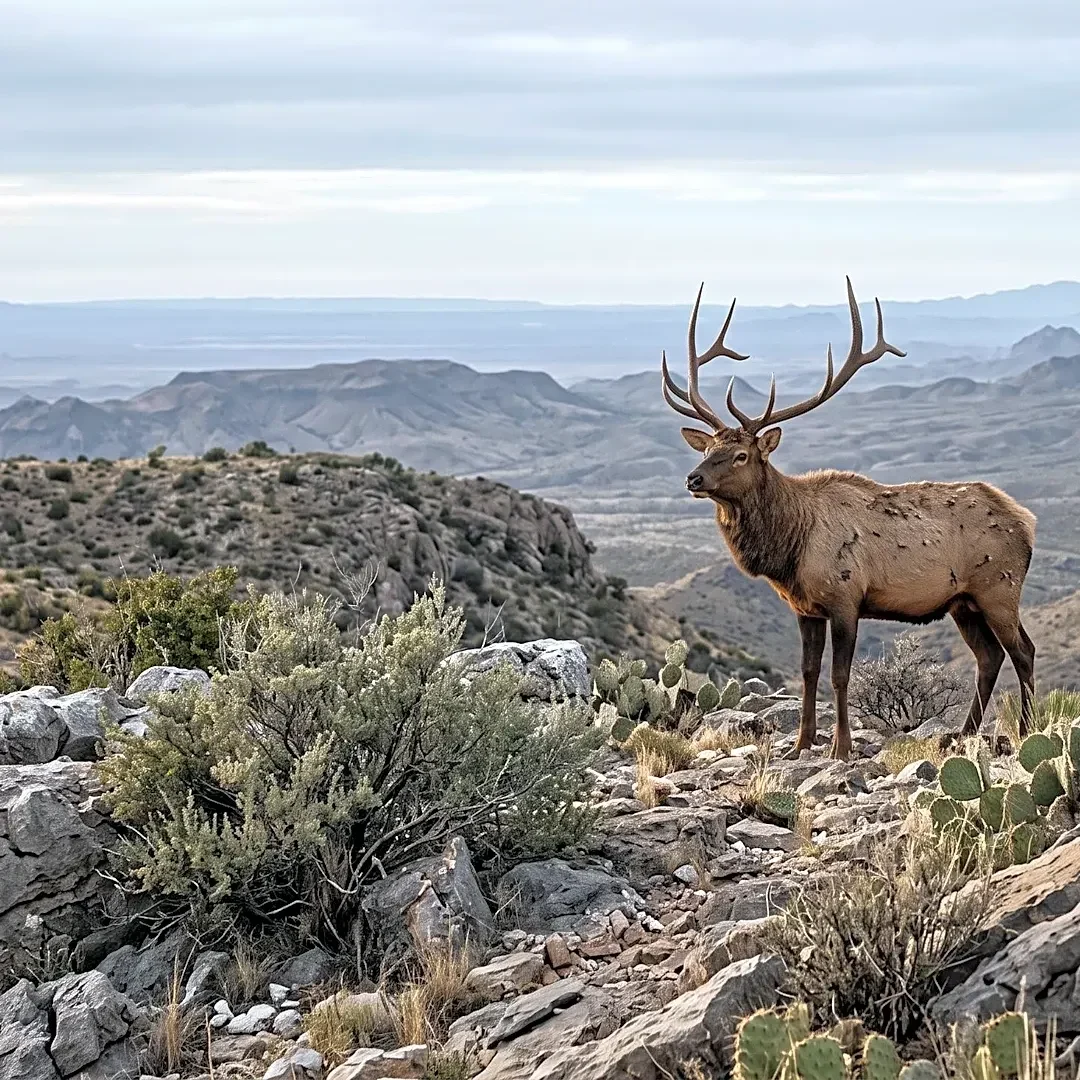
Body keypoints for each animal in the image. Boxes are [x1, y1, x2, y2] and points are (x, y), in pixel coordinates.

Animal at [661, 278, 1037, 760]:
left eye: (742, 455)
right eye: (708, 448)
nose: (693, 478)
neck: (790, 548)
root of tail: (1026, 522)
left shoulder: (845, 598)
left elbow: (839, 676)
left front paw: (840, 747)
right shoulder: (805, 608)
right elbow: (808, 673)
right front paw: (800, 744)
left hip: (999, 588)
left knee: (1022, 651)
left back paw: (1026, 730)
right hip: (963, 601)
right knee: (989, 658)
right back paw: (964, 734)